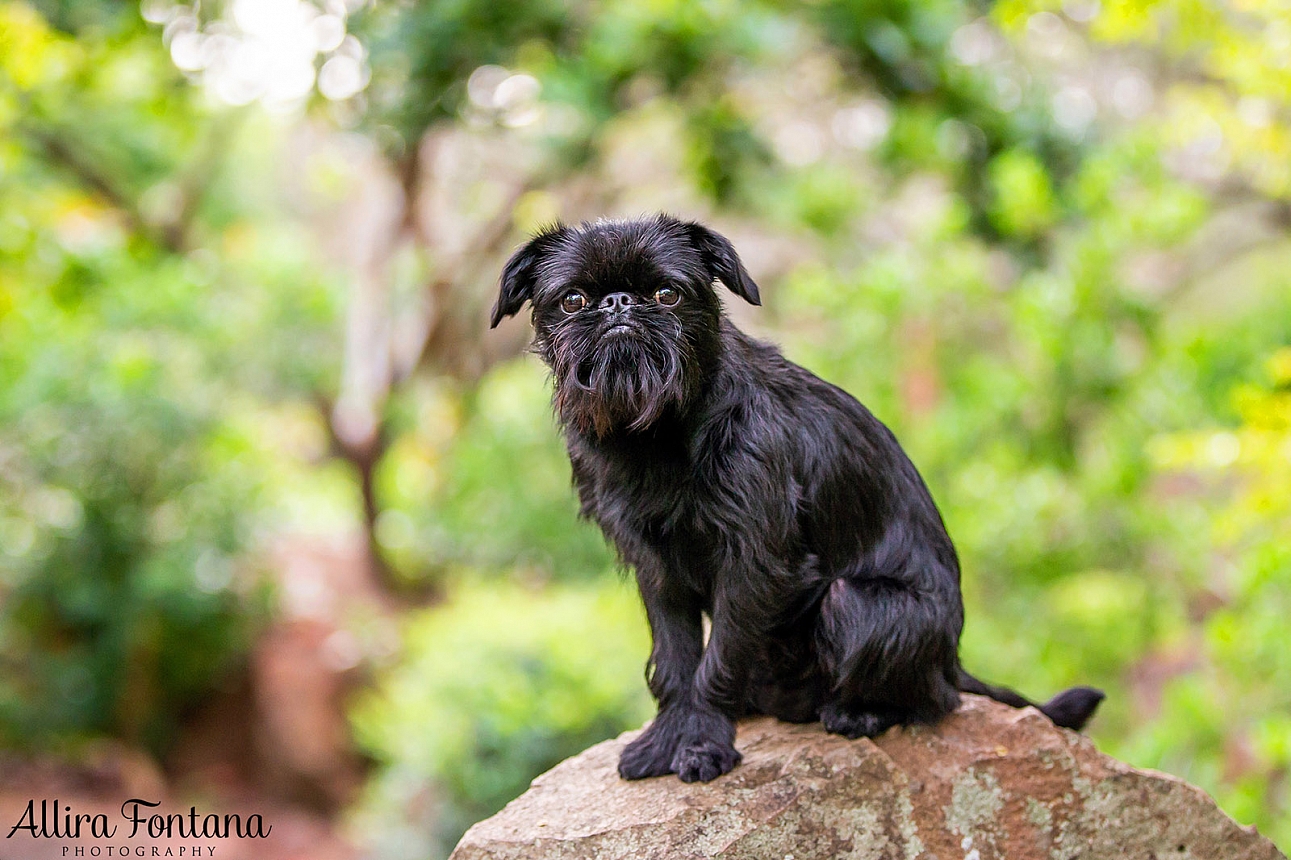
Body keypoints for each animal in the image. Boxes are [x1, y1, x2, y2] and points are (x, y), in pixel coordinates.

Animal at [487, 213, 1105, 774]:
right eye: (572, 301)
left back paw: (858, 713)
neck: (657, 433)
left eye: (667, 294)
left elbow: (718, 660)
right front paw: (668, 739)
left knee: (934, 699)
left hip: (857, 607)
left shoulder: (754, 561)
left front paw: (702, 742)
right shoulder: (655, 565)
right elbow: (675, 660)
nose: (618, 304)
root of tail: (953, 660)